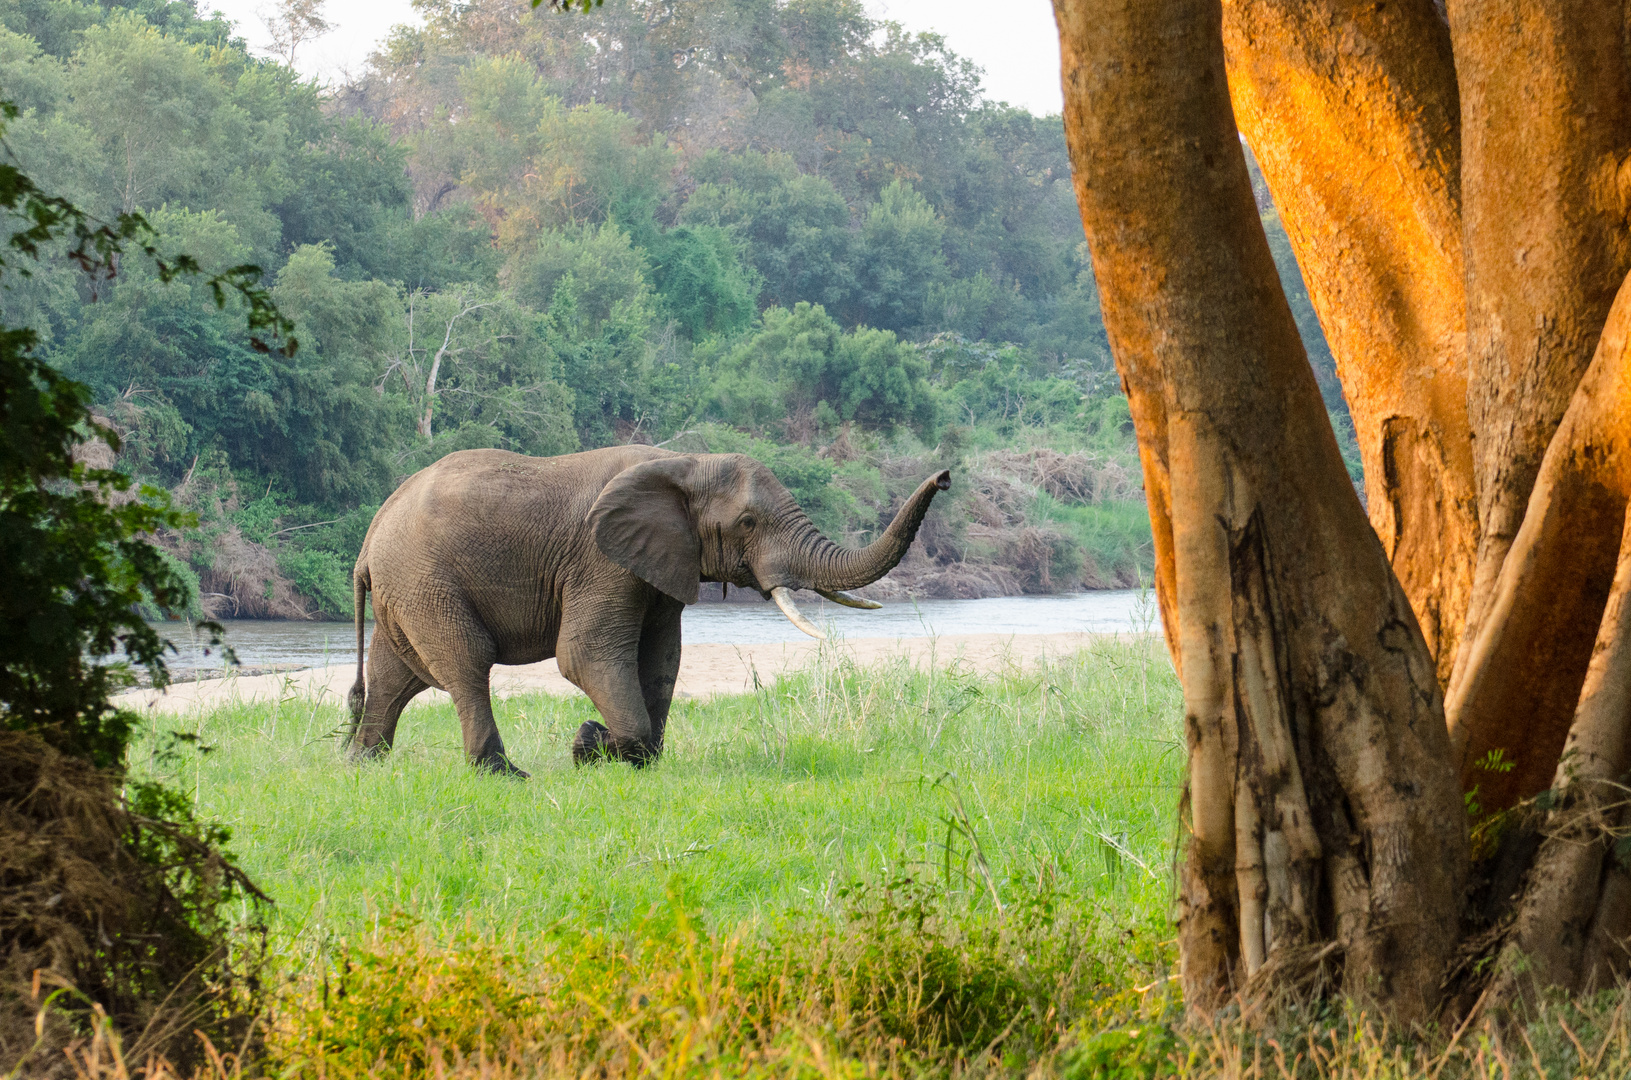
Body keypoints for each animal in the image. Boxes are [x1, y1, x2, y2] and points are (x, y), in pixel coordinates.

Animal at [347, 447, 952, 779]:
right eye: (749, 523)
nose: (945, 476)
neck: (687, 463)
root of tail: (370, 538)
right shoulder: (599, 559)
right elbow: (584, 655)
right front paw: (590, 745)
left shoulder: (661, 562)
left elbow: (662, 660)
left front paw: (626, 757)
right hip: (426, 579)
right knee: (468, 664)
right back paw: (504, 776)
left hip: (408, 588)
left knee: (397, 677)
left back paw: (361, 765)